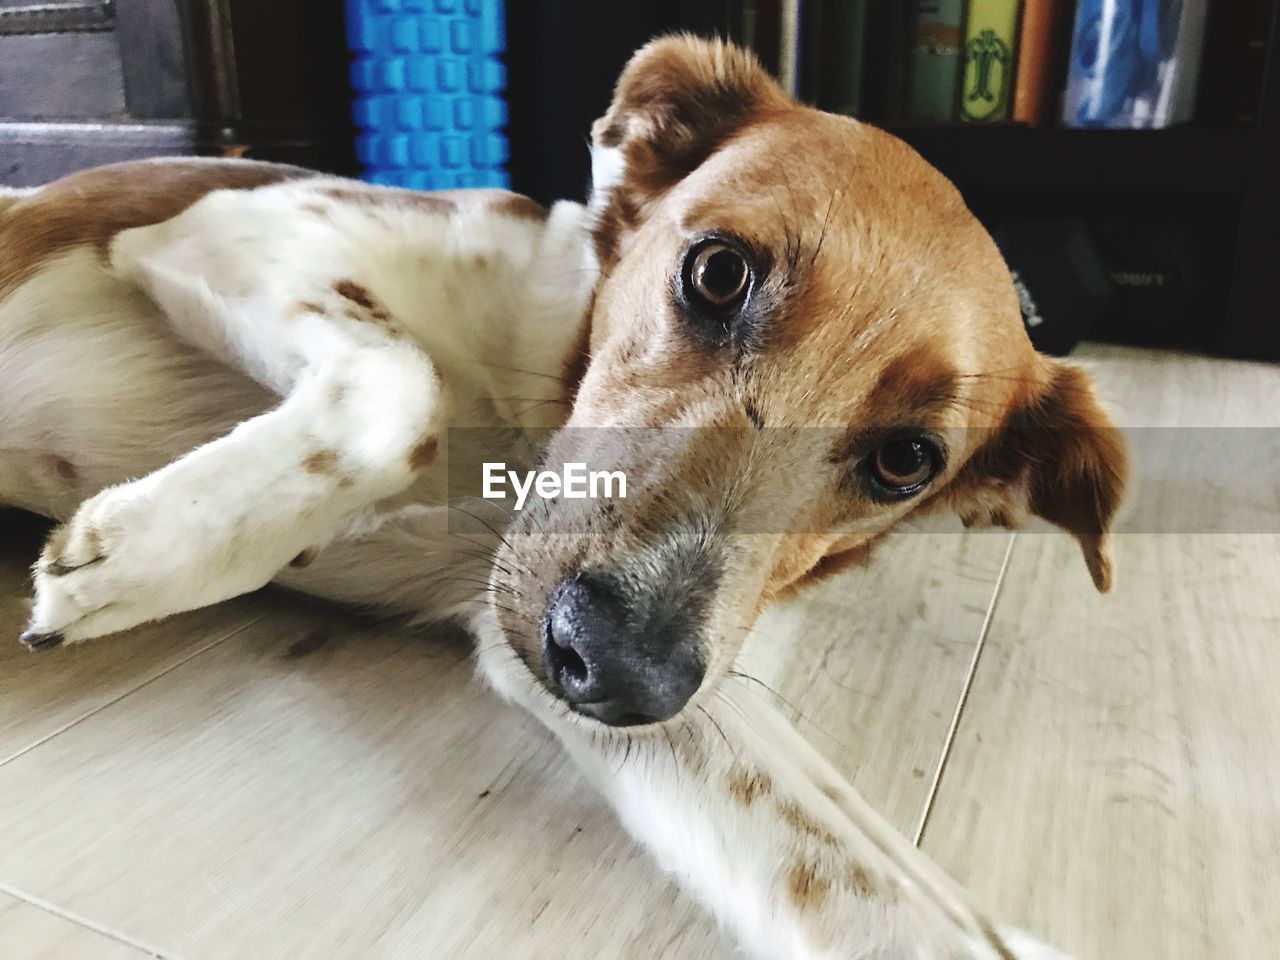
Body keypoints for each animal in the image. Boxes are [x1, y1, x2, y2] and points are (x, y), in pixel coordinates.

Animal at [0, 37, 1126, 960]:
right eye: (717, 273)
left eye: (906, 459)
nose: (621, 670)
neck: (528, 410)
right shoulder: (221, 231)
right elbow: (406, 385)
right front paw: (143, 552)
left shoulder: (641, 689)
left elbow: (904, 901)